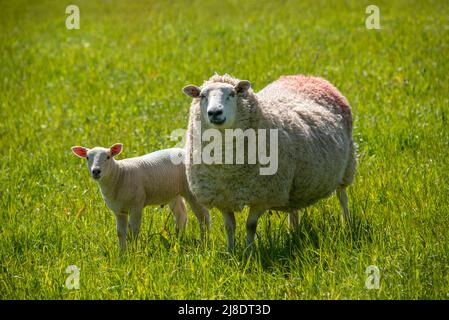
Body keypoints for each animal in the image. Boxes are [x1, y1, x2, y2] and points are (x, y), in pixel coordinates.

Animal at [70, 143, 210, 252]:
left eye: (108, 157)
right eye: (87, 157)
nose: (96, 171)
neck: (119, 175)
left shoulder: (136, 205)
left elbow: (133, 231)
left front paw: (134, 252)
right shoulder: (118, 210)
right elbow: (120, 233)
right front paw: (122, 254)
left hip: (192, 190)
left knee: (203, 217)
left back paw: (205, 242)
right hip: (173, 193)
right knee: (181, 215)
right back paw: (178, 240)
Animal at [181, 74, 354, 251]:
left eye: (232, 94)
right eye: (202, 96)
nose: (215, 112)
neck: (227, 167)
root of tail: (308, 77)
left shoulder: (262, 195)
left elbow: (250, 225)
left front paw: (249, 251)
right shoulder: (222, 197)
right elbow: (229, 226)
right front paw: (231, 251)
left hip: (348, 165)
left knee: (343, 197)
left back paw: (346, 224)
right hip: (292, 185)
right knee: (294, 209)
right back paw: (293, 232)